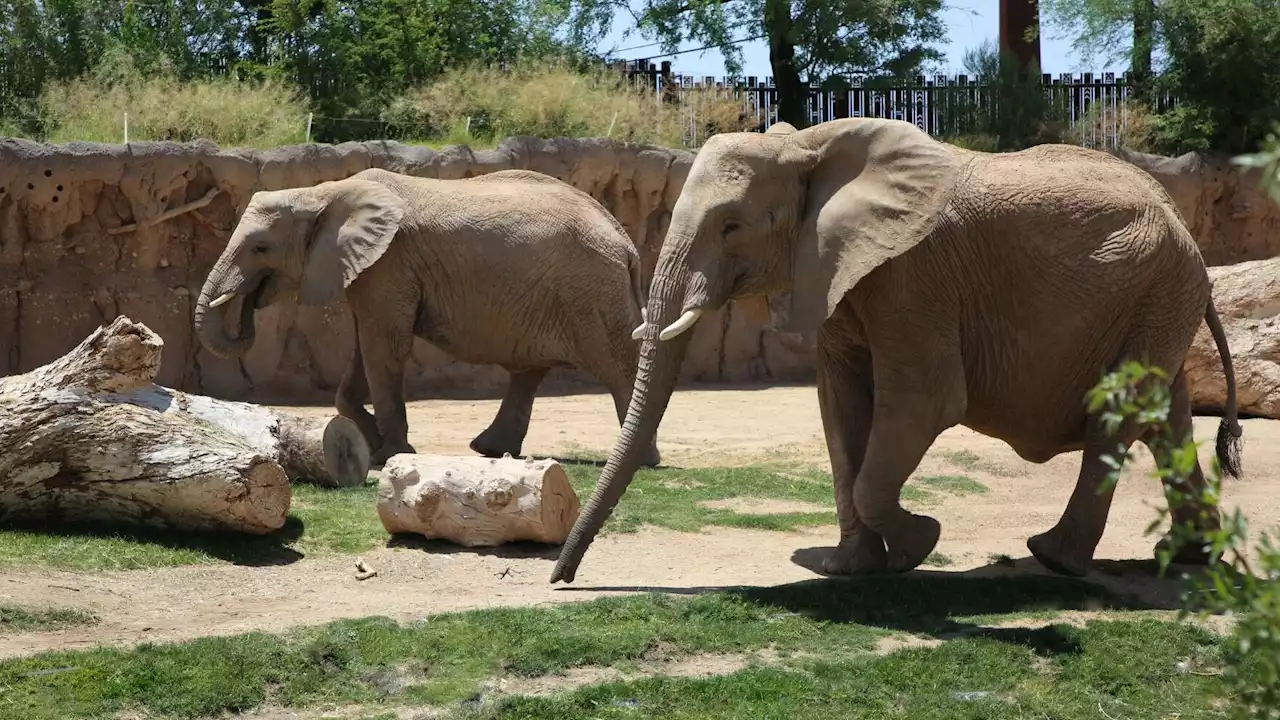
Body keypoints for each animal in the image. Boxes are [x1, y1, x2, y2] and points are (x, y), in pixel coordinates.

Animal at [197, 165, 670, 466]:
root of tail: (626, 245)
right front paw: (372, 442)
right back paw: (489, 450)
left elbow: (384, 345)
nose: (246, 308)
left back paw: (641, 460)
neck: (324, 192)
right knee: (528, 372)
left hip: (592, 292)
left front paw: (389, 454)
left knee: (618, 368)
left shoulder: (389, 263)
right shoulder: (370, 271)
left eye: (260, 248)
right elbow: (364, 346)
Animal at [547, 114, 1239, 579]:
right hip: (1159, 301)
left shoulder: (914, 274)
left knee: (1122, 418)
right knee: (1167, 420)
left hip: (1156, 289)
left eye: (732, 225)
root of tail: (1183, 226)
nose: (562, 578)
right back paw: (1187, 558)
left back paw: (1054, 559)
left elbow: (926, 402)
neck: (808, 146)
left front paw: (920, 544)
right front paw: (848, 568)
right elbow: (840, 403)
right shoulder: (834, 266)